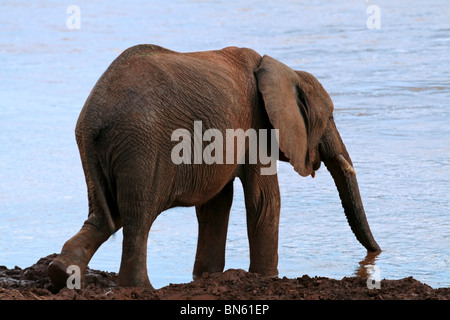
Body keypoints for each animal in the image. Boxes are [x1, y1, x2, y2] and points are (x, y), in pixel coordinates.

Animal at [48, 43, 380, 292]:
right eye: (331, 117)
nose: (376, 253)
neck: (280, 69)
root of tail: (94, 117)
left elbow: (216, 204)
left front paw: (207, 276)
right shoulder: (256, 125)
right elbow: (263, 200)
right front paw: (266, 277)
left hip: (104, 152)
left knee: (104, 215)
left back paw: (60, 272)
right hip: (142, 146)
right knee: (136, 218)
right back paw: (140, 288)